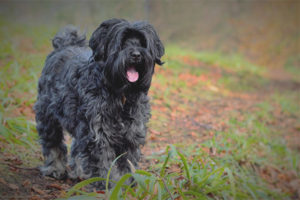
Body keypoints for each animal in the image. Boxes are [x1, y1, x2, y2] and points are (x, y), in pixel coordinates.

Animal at [34, 18, 165, 189]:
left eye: (143, 42)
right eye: (122, 42)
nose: (136, 54)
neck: (121, 94)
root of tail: (64, 46)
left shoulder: (131, 133)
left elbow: (126, 162)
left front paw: (126, 183)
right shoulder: (98, 132)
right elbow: (102, 161)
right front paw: (106, 184)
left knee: (76, 147)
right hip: (48, 115)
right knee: (53, 143)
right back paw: (55, 168)